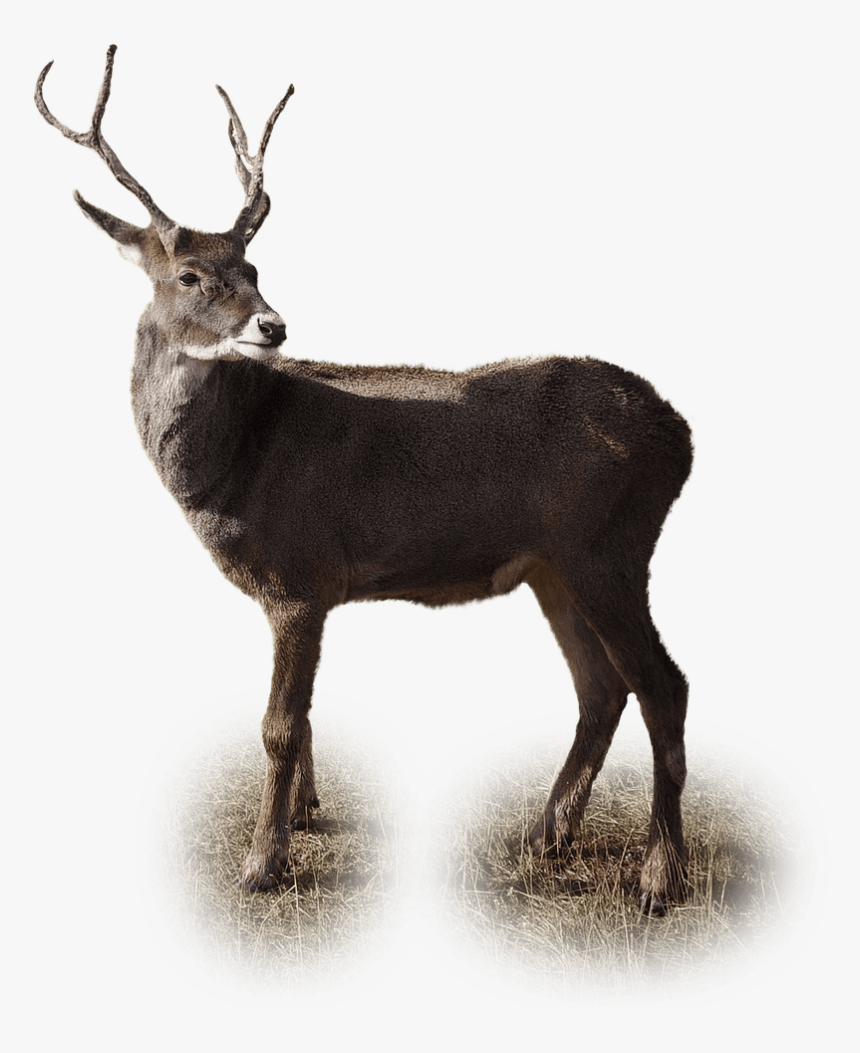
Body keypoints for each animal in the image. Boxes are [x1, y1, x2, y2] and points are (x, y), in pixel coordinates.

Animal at [36, 45, 694, 916]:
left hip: (609, 544)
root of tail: (682, 432)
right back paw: (546, 835)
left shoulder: (300, 573)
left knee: (662, 683)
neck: (236, 460)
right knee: (602, 688)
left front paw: (261, 864)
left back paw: (660, 875)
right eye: (189, 275)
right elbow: (307, 717)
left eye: (252, 264)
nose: (273, 324)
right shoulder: (303, 588)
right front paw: (305, 817)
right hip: (554, 564)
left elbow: (279, 724)